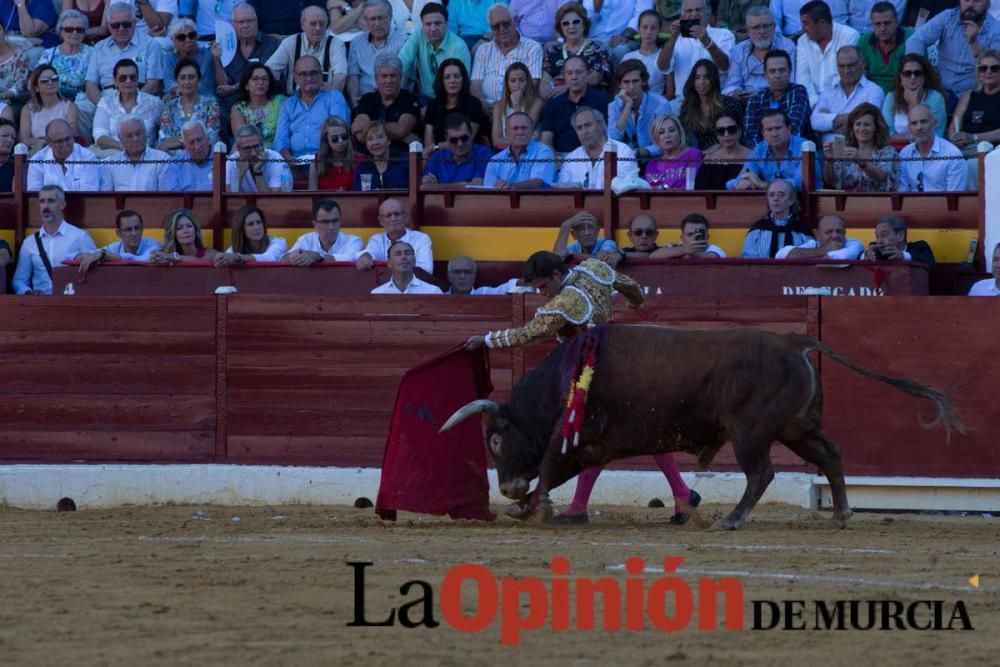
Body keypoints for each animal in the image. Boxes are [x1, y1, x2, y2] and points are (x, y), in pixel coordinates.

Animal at [442, 326, 964, 528]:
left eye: (494, 438)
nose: (506, 488)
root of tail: (793, 341)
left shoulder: (582, 438)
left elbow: (551, 466)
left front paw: (535, 507)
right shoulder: (595, 447)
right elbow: (560, 471)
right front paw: (528, 506)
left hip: (752, 431)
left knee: (761, 473)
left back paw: (731, 519)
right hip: (795, 427)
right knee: (830, 455)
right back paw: (839, 514)